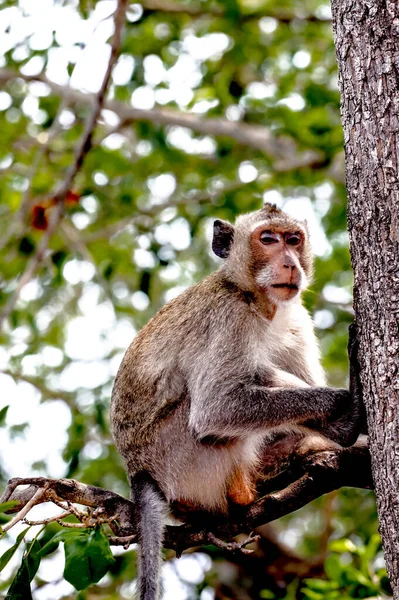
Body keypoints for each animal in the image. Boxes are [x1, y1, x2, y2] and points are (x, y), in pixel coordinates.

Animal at [111, 203, 364, 600]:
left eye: (294, 239)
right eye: (268, 239)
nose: (290, 262)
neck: (258, 301)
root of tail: (139, 473)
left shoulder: (296, 319)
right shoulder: (230, 318)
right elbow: (215, 409)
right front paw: (341, 402)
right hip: (183, 460)